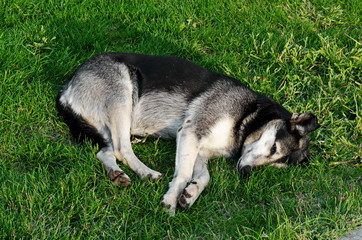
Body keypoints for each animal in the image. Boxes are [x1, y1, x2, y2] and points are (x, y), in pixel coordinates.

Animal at [56, 53, 320, 215]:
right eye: (274, 148)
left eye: (275, 165)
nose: (245, 173)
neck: (248, 117)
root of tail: (68, 85)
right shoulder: (191, 132)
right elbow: (182, 174)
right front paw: (171, 201)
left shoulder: (199, 150)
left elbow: (204, 177)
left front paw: (190, 195)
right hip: (121, 94)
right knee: (122, 148)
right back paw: (146, 172)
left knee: (106, 151)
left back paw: (117, 175)